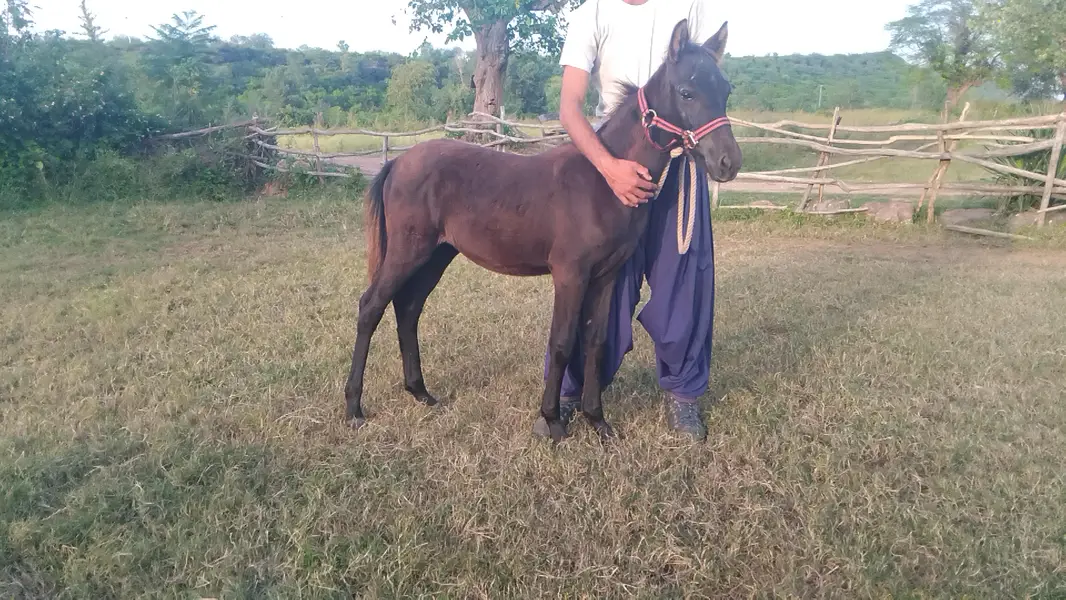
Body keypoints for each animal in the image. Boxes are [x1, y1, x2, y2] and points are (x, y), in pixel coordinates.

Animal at [343, 18, 742, 444]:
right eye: (686, 92)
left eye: (726, 90)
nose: (728, 162)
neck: (604, 181)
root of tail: (397, 163)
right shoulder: (570, 274)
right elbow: (563, 341)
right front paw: (553, 420)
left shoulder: (607, 275)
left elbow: (596, 341)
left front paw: (597, 420)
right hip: (408, 250)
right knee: (371, 306)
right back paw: (354, 407)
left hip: (436, 254)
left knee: (408, 308)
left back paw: (420, 392)